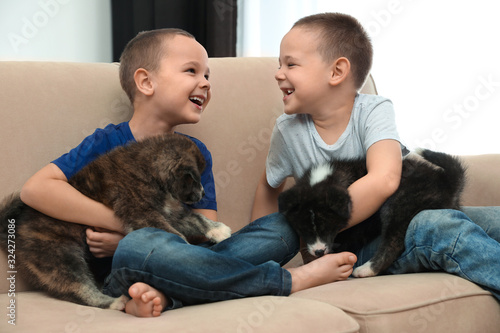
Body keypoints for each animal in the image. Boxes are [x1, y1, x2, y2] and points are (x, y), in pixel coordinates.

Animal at [280, 149, 466, 276]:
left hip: (397, 204)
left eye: (328, 227)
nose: (319, 252)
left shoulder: (358, 226)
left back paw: (366, 270)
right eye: (303, 229)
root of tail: (447, 182)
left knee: (393, 243)